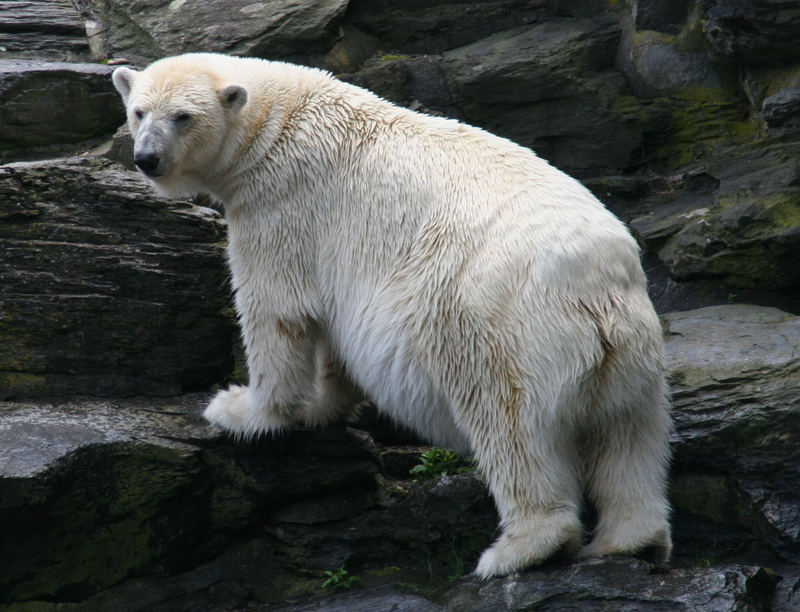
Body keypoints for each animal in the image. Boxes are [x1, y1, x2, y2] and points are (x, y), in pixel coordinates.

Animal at [112, 52, 672, 580]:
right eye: (139, 111)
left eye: (183, 116)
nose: (147, 158)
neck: (276, 124)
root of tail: (596, 292)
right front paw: (320, 406)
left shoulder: (282, 208)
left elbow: (278, 311)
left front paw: (240, 409)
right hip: (634, 354)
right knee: (629, 439)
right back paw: (631, 540)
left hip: (496, 328)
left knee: (509, 426)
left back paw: (520, 549)